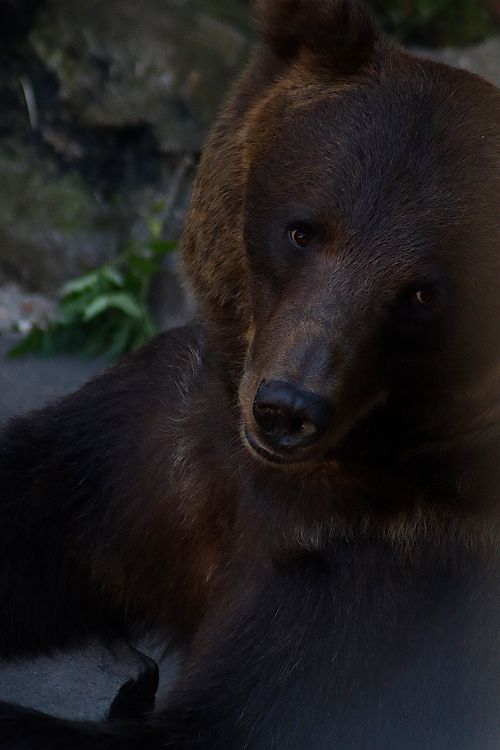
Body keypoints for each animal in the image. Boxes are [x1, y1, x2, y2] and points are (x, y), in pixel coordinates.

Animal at [1, 0, 500, 747]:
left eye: (422, 293)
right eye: (301, 229)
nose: (288, 408)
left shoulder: (392, 575)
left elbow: (237, 716)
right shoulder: (155, 449)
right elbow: (33, 498)